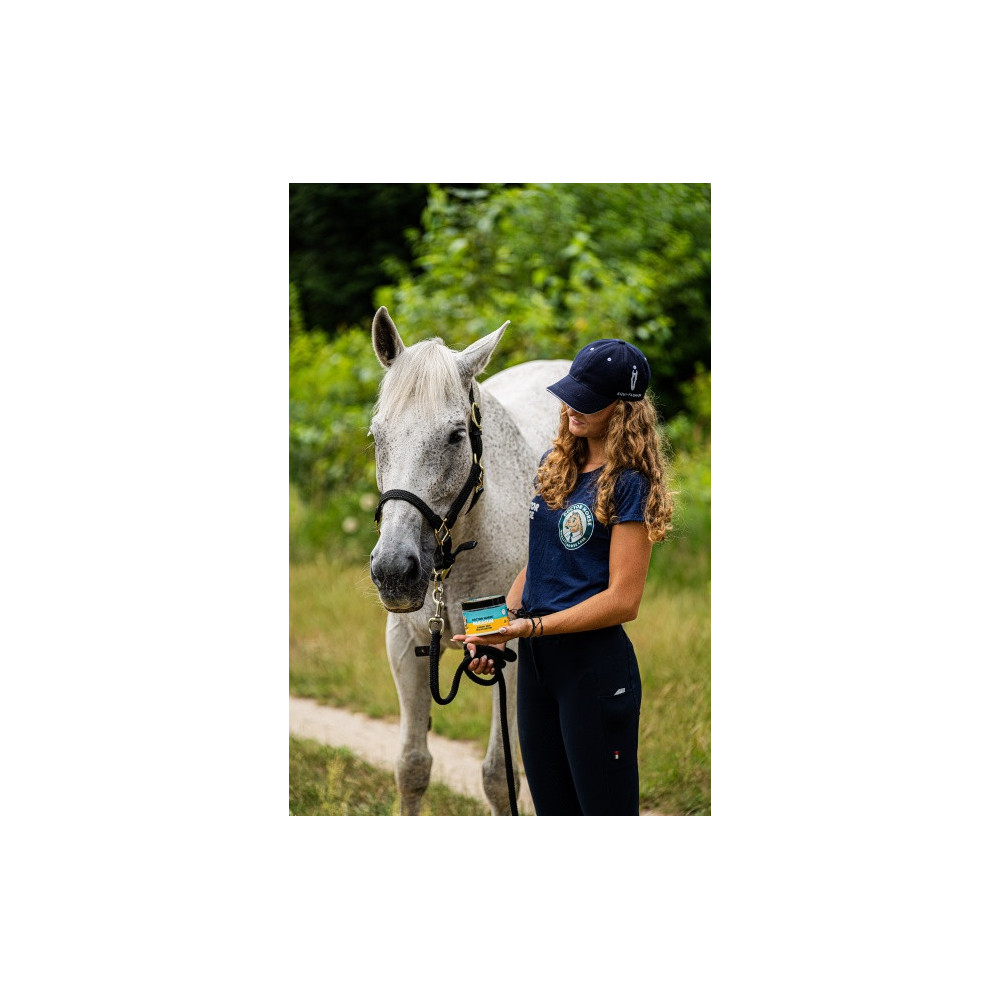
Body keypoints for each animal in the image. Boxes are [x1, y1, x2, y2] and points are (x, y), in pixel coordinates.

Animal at [368, 306, 569, 815]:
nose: (394, 571)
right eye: (377, 436)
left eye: (456, 436)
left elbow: (500, 777)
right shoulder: (405, 645)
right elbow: (412, 766)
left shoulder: (511, 659)